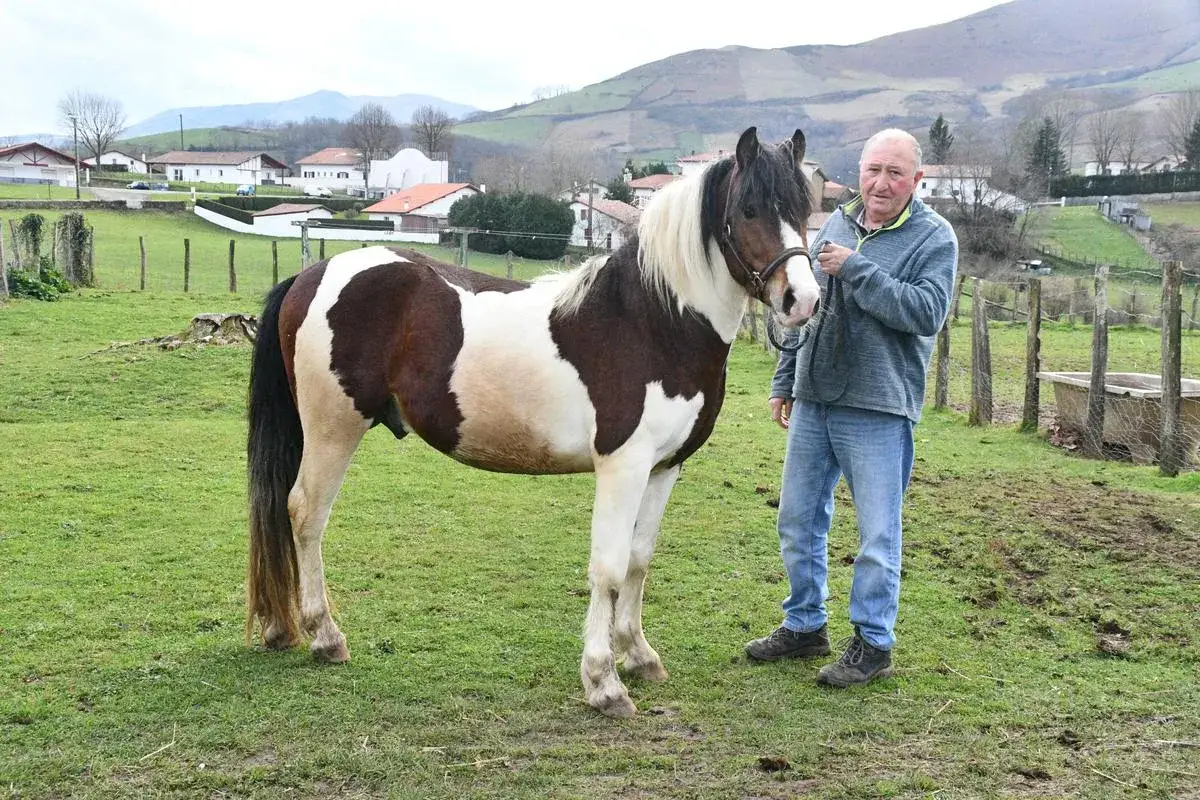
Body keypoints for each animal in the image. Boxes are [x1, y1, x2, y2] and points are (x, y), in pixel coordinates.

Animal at [245, 125, 821, 718]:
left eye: (805, 208)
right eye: (749, 209)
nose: (802, 300)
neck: (654, 322)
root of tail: (313, 275)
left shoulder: (665, 468)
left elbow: (638, 561)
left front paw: (639, 655)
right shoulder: (623, 466)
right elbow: (609, 566)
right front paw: (603, 682)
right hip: (332, 428)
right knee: (306, 514)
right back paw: (325, 636)